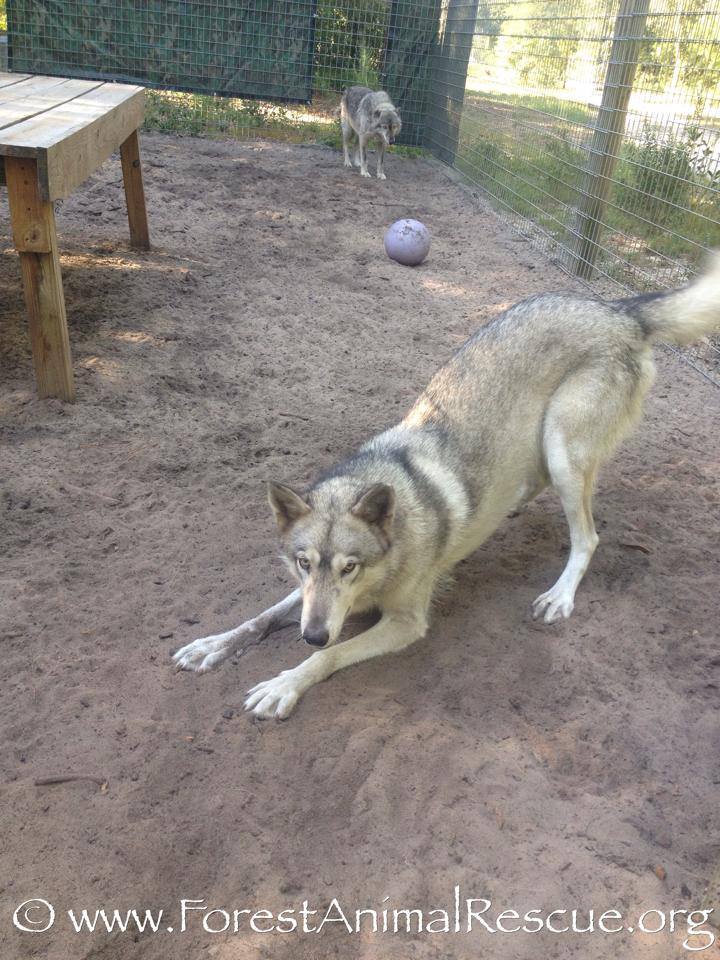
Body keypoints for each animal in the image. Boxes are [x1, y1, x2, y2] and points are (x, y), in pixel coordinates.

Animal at [174, 251, 720, 716]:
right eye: (304, 563)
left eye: (350, 567)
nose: (311, 634)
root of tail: (617, 308)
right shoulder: (309, 601)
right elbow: (260, 617)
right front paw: (211, 645)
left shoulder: (403, 623)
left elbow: (327, 658)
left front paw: (284, 683)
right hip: (546, 448)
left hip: (563, 450)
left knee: (587, 536)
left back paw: (559, 596)